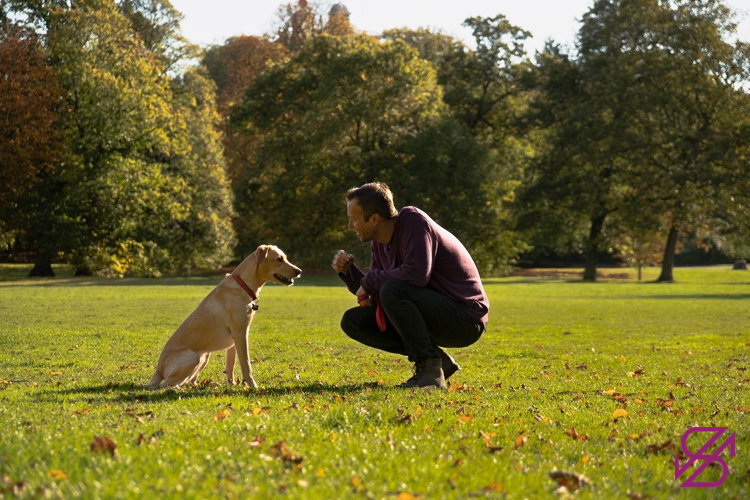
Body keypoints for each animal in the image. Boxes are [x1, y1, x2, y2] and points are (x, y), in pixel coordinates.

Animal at [147, 244, 300, 388]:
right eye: (279, 259)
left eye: (285, 258)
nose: (299, 271)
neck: (243, 285)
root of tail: (158, 370)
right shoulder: (240, 334)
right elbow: (246, 365)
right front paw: (253, 386)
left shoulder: (234, 341)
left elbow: (230, 366)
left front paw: (232, 384)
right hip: (194, 357)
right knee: (166, 384)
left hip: (204, 356)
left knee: (189, 381)